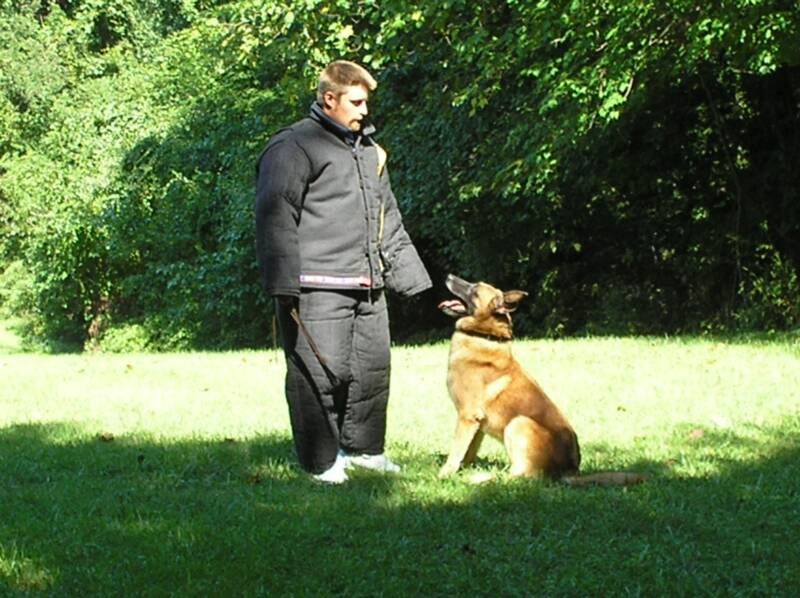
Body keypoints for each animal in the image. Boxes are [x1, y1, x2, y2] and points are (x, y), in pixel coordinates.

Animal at [438, 274, 645, 487]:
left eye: (474, 290)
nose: (448, 276)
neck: (483, 336)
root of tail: (570, 471)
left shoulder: (467, 417)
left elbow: (455, 453)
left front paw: (444, 475)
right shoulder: (477, 425)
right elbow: (468, 453)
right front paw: (462, 469)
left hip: (518, 423)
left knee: (519, 477)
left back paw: (480, 479)